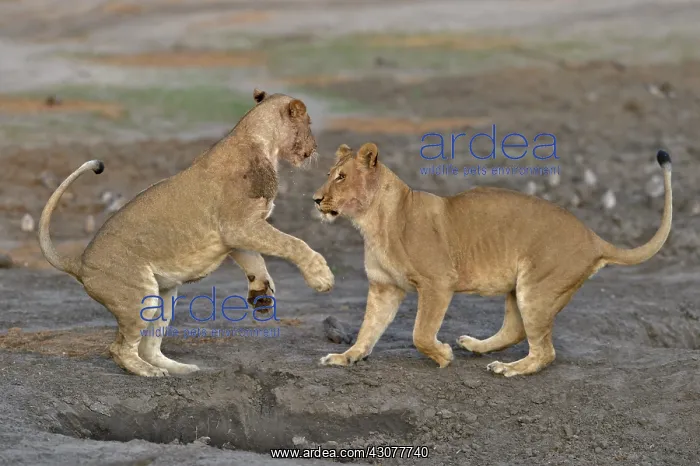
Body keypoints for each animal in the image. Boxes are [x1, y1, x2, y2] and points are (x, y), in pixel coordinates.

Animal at [38, 89, 335, 377]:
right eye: (309, 123)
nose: (315, 148)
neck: (259, 139)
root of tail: (79, 262)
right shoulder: (239, 225)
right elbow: (293, 243)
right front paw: (321, 277)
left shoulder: (238, 234)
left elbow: (256, 262)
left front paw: (261, 295)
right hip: (140, 296)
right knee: (119, 348)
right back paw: (149, 372)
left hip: (165, 297)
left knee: (148, 346)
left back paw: (179, 368)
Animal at [312, 142, 672, 377]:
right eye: (329, 174)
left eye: (341, 177)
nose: (316, 199)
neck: (373, 222)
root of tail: (594, 237)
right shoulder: (384, 286)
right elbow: (368, 328)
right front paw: (346, 357)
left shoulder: (438, 282)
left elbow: (420, 333)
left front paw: (442, 356)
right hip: (520, 288)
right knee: (515, 331)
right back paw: (476, 346)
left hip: (537, 287)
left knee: (545, 351)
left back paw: (509, 368)